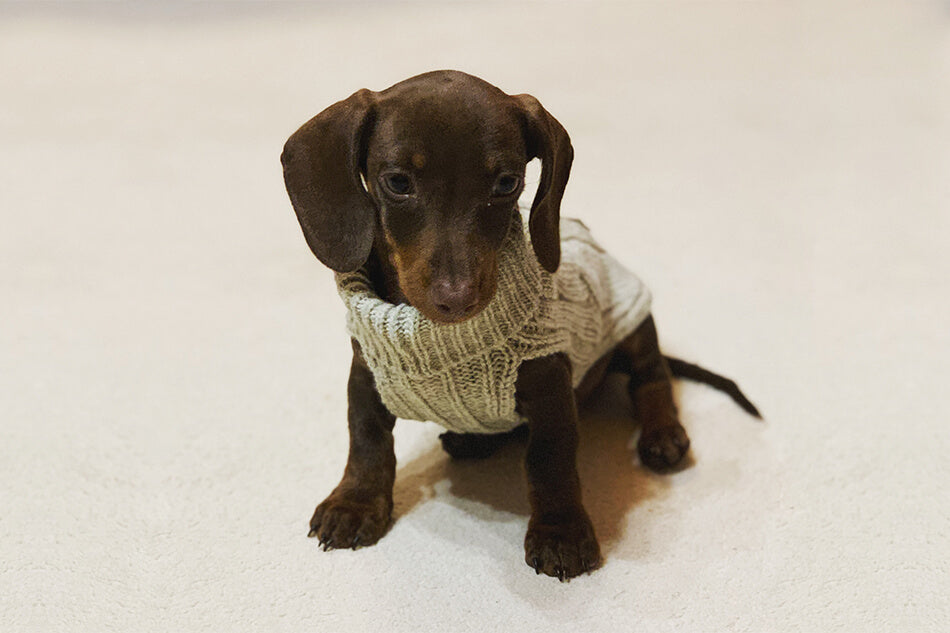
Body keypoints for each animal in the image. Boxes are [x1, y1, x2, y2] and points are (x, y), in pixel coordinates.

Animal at [278, 71, 764, 580]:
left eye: (506, 183)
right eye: (397, 182)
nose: (458, 299)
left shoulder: (551, 388)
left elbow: (549, 463)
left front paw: (561, 532)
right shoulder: (366, 377)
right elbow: (366, 443)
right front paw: (353, 504)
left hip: (633, 321)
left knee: (652, 378)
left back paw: (663, 434)